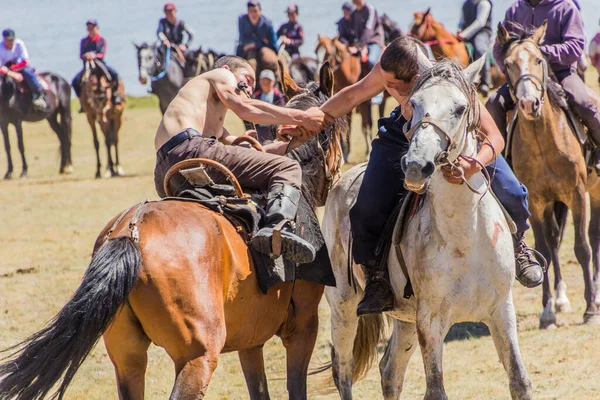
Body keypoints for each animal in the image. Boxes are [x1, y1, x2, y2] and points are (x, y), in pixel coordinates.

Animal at [496, 22, 600, 328]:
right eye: (508, 64)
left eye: (539, 60)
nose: (529, 103)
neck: (544, 142)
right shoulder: (536, 201)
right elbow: (543, 245)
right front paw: (547, 311)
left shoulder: (577, 195)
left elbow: (582, 248)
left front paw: (590, 309)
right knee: (554, 241)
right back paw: (561, 299)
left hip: (594, 191)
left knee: (594, 236)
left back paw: (595, 294)